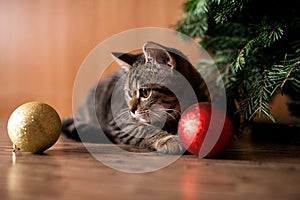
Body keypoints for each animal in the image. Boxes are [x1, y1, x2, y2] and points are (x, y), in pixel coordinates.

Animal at [62, 41, 209, 154]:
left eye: (144, 92)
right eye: (129, 93)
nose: (131, 110)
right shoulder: (121, 122)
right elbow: (144, 129)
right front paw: (168, 140)